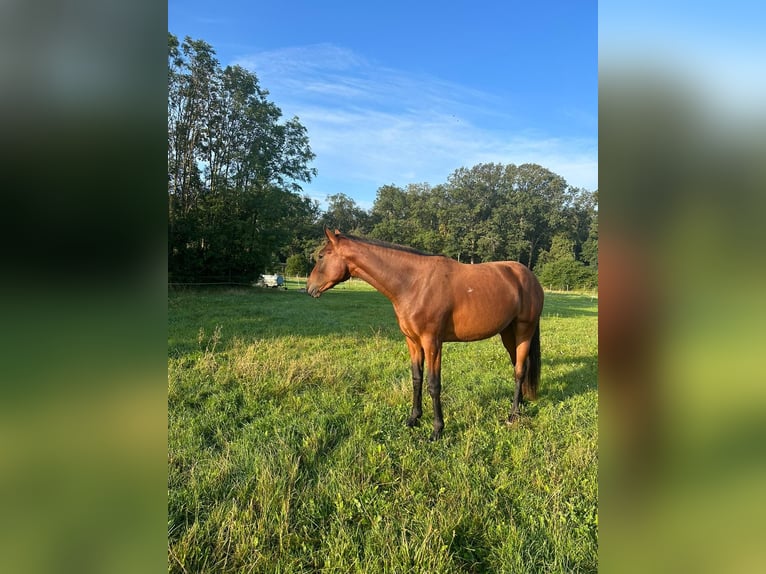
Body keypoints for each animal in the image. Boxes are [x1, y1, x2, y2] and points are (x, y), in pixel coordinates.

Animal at [308, 230, 544, 440]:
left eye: (321, 256)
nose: (309, 287)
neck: (414, 283)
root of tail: (530, 277)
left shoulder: (432, 342)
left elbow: (433, 384)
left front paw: (437, 429)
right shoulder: (412, 341)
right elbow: (416, 379)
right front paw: (414, 418)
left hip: (524, 330)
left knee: (519, 370)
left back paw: (513, 414)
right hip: (508, 333)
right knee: (519, 365)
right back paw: (520, 403)